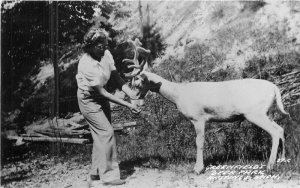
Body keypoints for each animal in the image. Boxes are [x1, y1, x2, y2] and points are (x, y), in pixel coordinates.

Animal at [123, 38, 290, 173]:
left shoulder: (198, 117)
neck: (179, 94)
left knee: (275, 132)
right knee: (281, 128)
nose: (135, 106)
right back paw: (282, 160)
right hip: (265, 112)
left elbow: (199, 142)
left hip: (255, 112)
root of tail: (274, 88)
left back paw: (270, 166)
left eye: (136, 84)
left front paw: (198, 168)